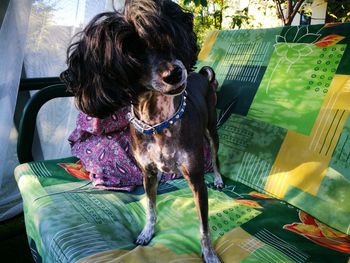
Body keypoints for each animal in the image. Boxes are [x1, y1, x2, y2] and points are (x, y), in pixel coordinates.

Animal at [60, 1, 223, 262]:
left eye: (169, 38)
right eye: (132, 54)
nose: (176, 73)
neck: (159, 123)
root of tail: (203, 77)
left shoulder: (197, 179)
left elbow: (204, 226)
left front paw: (209, 254)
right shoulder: (148, 174)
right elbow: (151, 207)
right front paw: (147, 232)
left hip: (211, 131)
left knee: (216, 157)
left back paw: (218, 178)